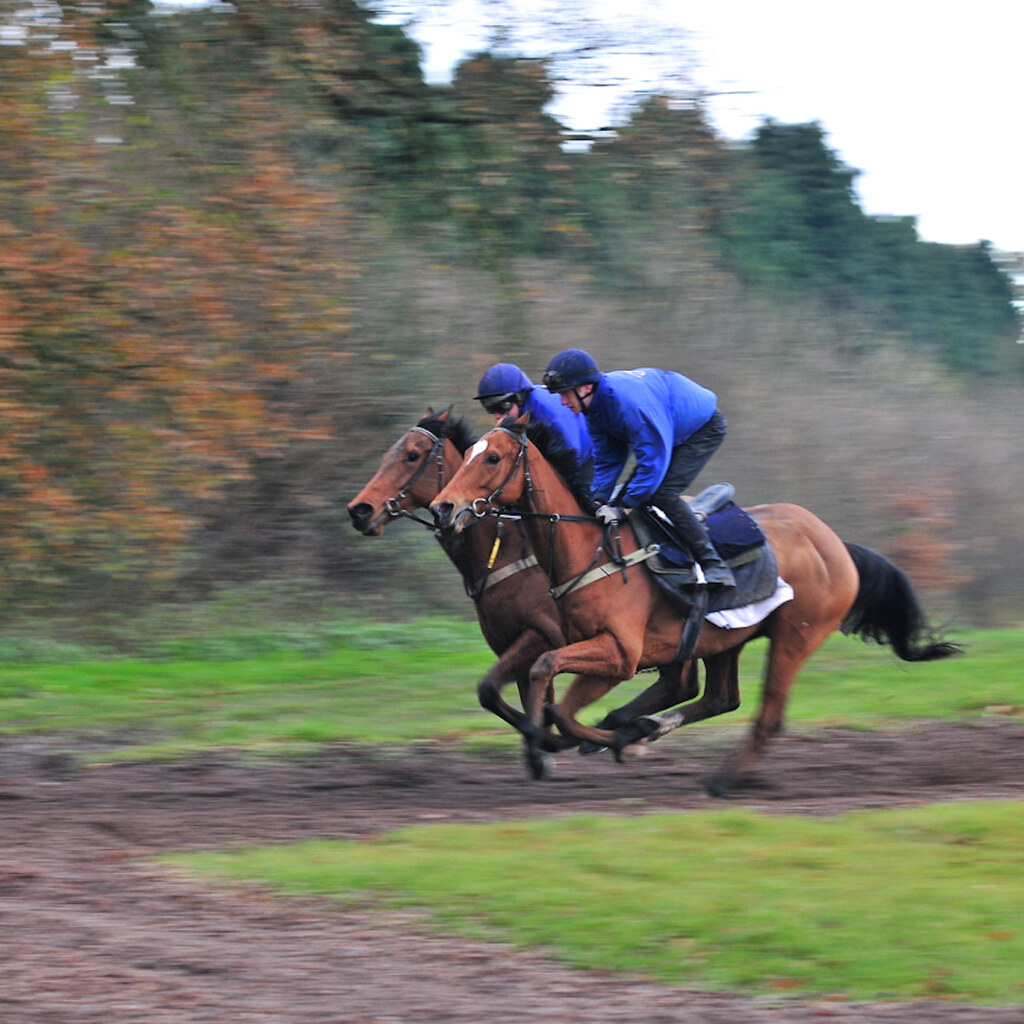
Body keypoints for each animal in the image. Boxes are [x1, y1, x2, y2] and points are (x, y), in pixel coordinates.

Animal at [347, 409, 694, 743]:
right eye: (387, 455)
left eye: (412, 455)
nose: (359, 510)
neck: (504, 550)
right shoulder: (512, 647)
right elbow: (500, 695)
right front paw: (546, 737)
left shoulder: (541, 636)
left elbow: (506, 693)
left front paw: (550, 738)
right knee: (682, 686)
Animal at [431, 414, 961, 794]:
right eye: (467, 456)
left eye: (493, 458)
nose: (443, 507)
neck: (591, 549)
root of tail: (837, 545)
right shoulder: (580, 643)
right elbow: (547, 690)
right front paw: (596, 738)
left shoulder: (619, 653)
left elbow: (553, 694)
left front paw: (611, 742)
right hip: (725, 637)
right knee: (721, 698)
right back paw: (647, 728)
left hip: (795, 635)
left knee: (766, 715)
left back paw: (722, 778)